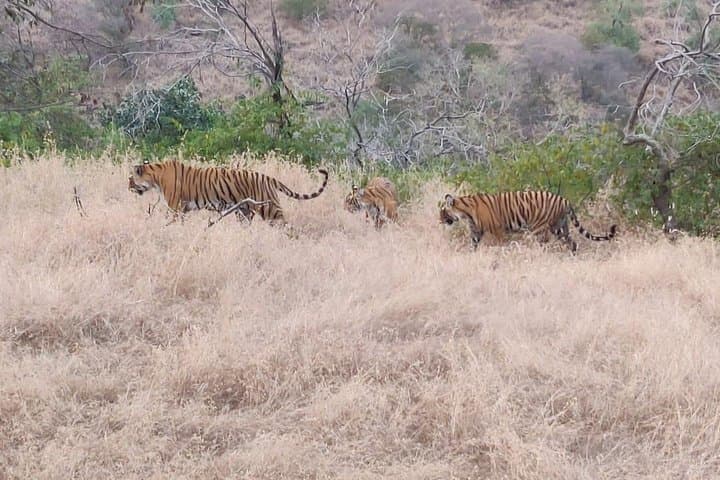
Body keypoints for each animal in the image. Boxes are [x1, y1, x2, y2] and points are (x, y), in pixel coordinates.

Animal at [128, 159, 329, 224]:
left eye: (131, 179)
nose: (128, 188)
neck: (156, 176)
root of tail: (268, 177)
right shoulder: (183, 209)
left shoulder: (175, 207)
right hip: (245, 212)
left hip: (270, 209)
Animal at [439, 191, 617, 252]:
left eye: (443, 211)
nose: (439, 220)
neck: (466, 213)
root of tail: (565, 200)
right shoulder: (476, 232)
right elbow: (473, 246)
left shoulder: (497, 230)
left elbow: (500, 245)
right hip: (559, 227)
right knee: (572, 243)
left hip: (540, 228)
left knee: (544, 246)